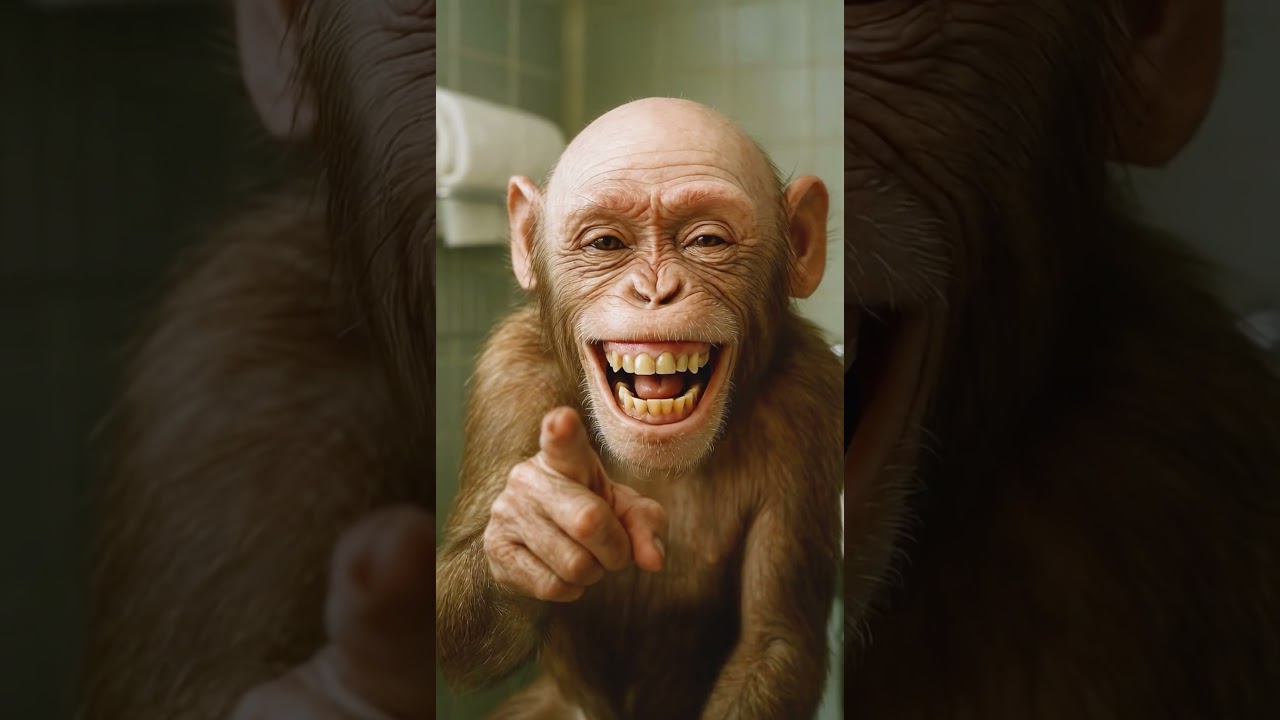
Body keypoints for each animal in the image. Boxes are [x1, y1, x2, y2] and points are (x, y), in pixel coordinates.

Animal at [431, 96, 845, 720]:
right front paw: (536, 527)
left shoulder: (812, 399)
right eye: (606, 243)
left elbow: (775, 636)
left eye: (707, 240)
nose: (654, 290)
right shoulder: (511, 373)